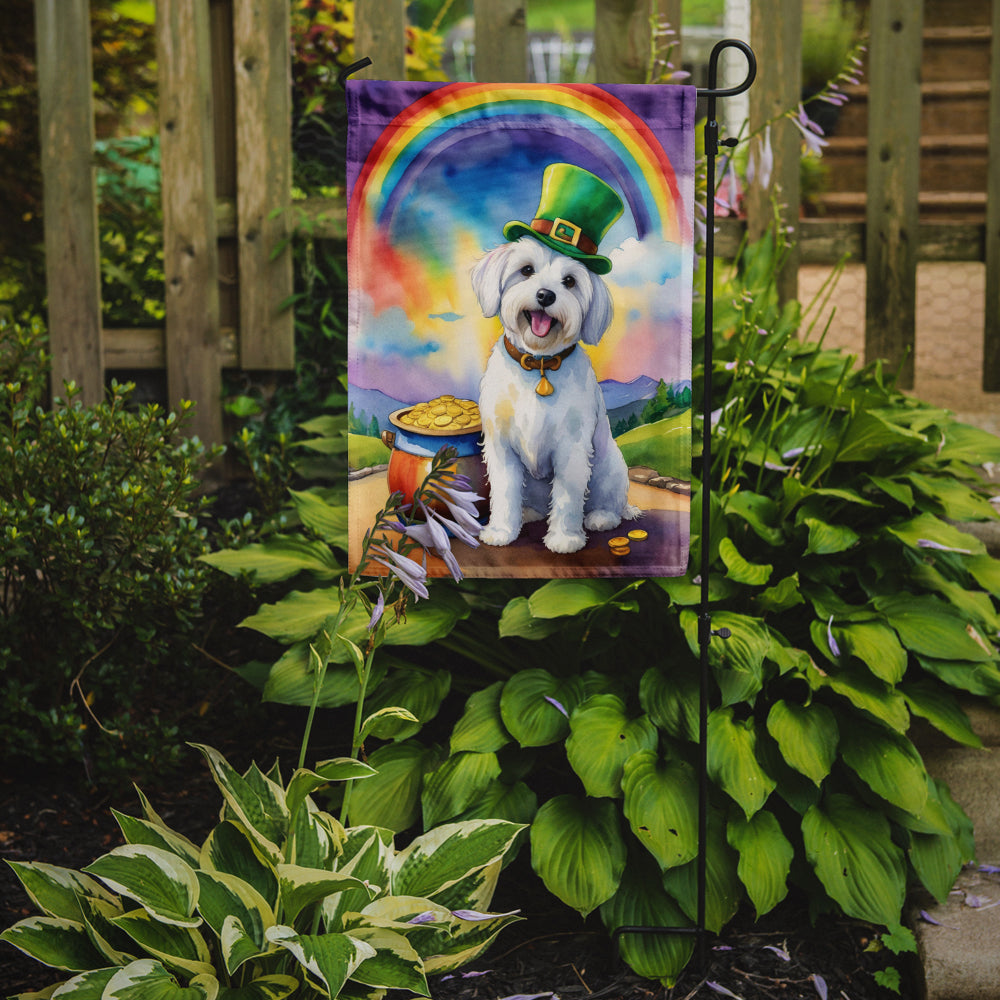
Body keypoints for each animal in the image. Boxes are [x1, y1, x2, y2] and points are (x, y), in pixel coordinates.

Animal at [470, 239, 640, 560]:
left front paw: (564, 539)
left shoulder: (571, 447)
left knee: (609, 504)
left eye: (570, 281)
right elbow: (505, 490)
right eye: (526, 270)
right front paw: (501, 532)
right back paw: (528, 514)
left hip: (609, 468)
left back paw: (601, 517)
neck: (539, 365)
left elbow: (567, 496)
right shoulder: (501, 446)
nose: (545, 295)